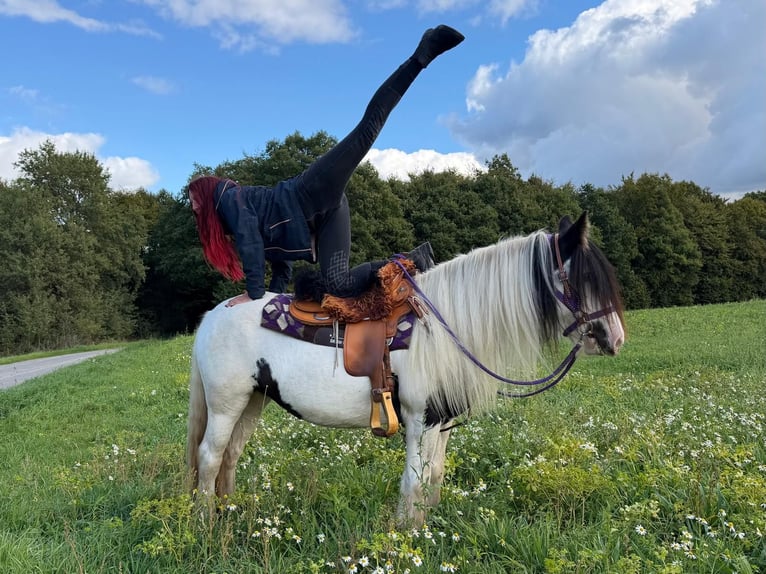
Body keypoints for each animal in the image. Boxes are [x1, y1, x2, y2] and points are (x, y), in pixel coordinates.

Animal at [186, 212, 626, 525]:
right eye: (582, 278)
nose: (615, 339)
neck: (446, 327)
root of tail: (211, 317)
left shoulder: (441, 420)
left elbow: (434, 476)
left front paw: (424, 528)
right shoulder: (417, 418)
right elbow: (413, 479)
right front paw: (404, 535)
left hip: (253, 400)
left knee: (230, 455)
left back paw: (230, 513)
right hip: (226, 404)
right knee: (209, 456)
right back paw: (207, 523)